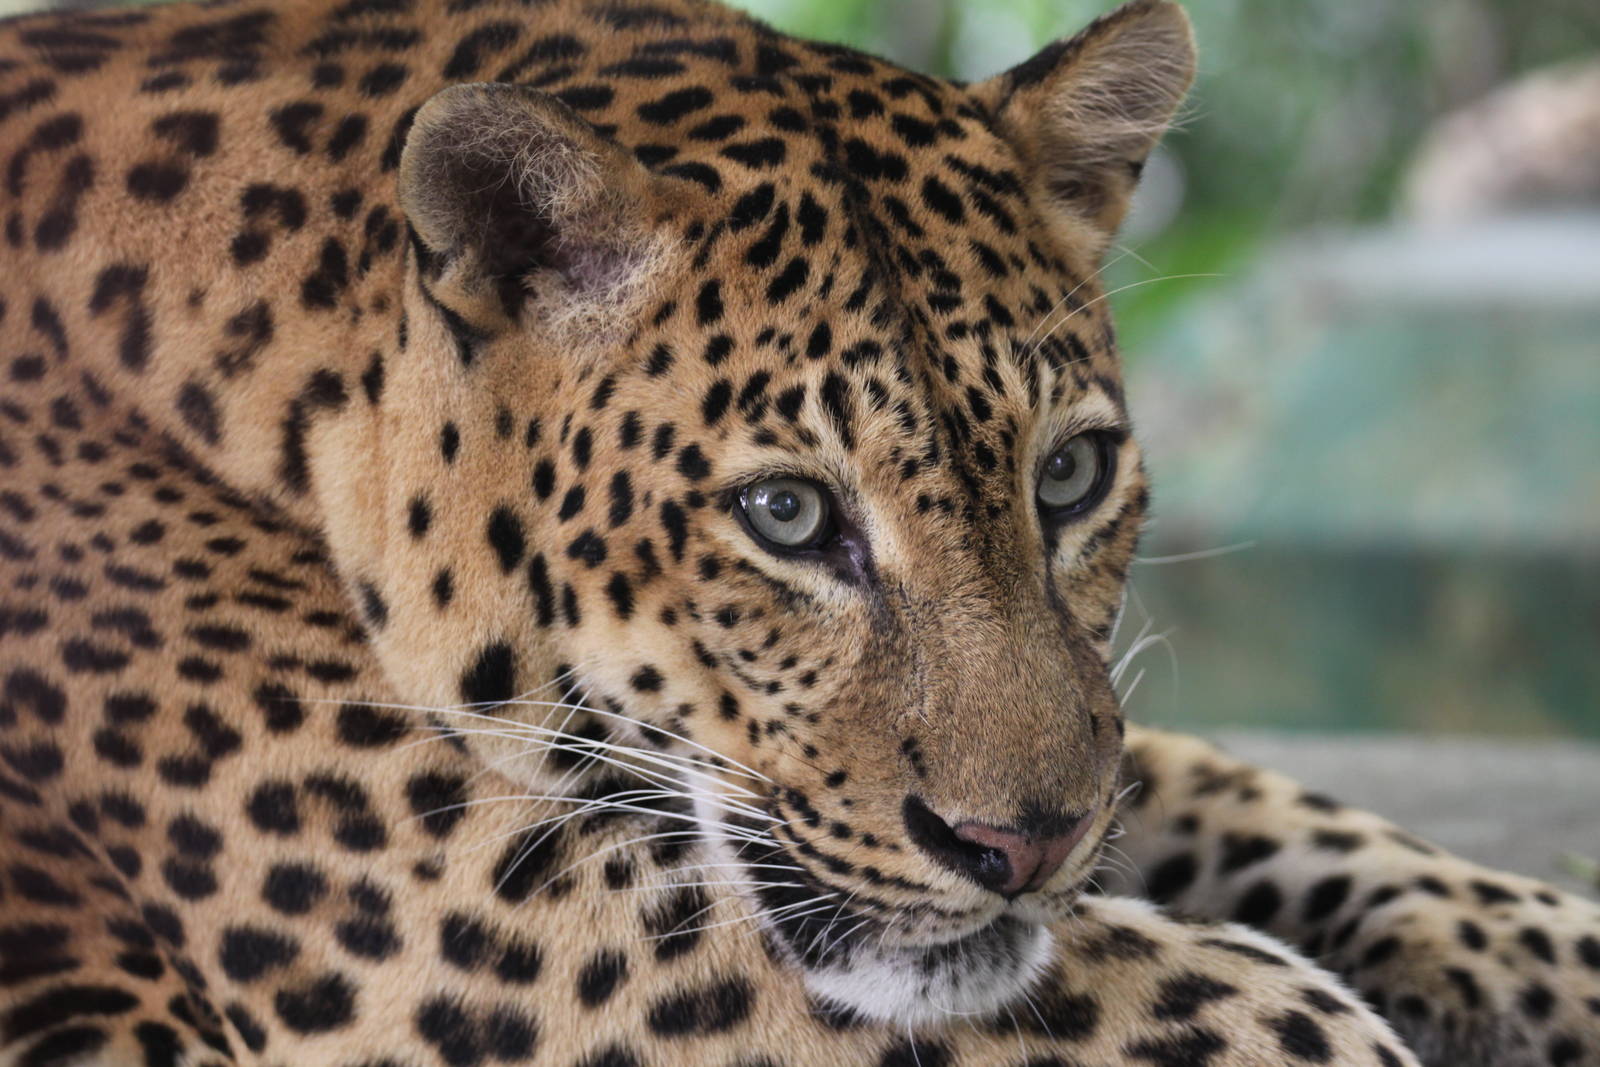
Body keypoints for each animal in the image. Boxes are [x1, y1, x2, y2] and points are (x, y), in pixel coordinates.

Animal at [0, 0, 1596, 1063]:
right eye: (787, 513)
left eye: (1070, 476)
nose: (1024, 848)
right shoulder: (578, 931)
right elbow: (1287, 1011)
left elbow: (1282, 805)